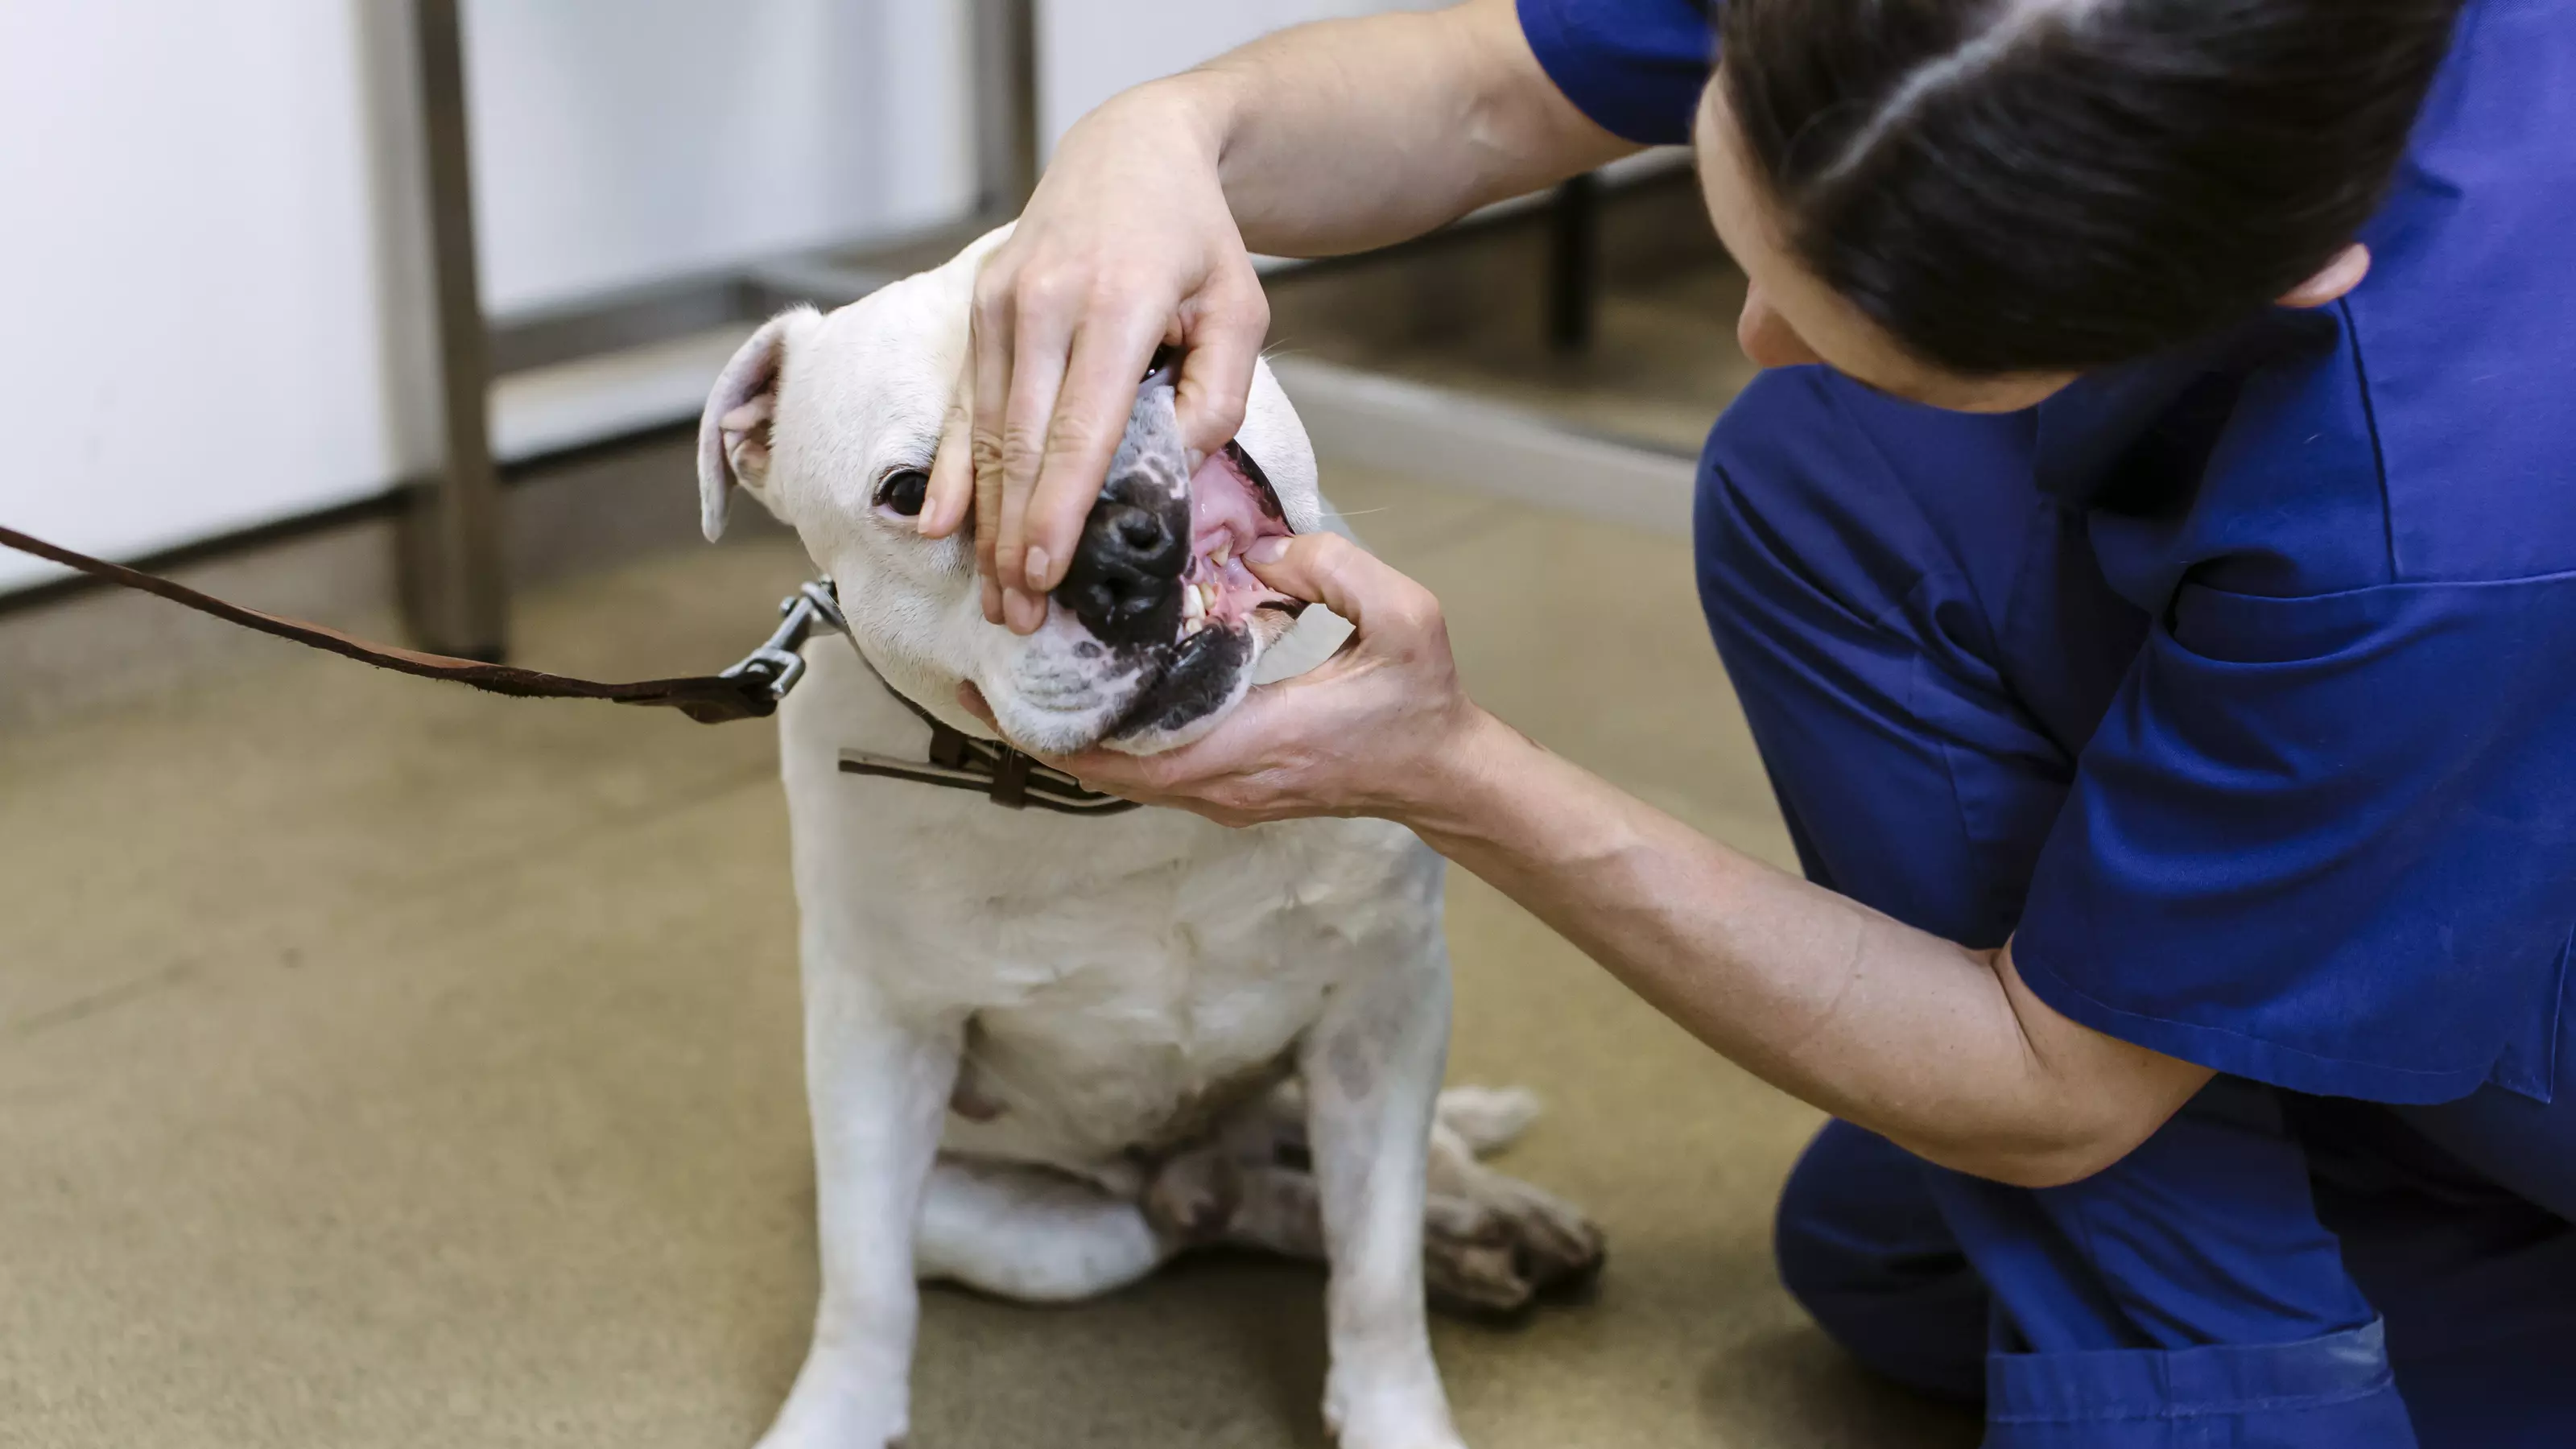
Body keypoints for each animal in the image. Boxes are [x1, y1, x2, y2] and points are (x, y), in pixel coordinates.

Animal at [696, 228, 1597, 1443]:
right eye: (909, 493)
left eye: (1156, 361)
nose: (1120, 545)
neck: (1122, 818)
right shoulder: (875, 1040)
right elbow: (864, 1280)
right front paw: (833, 1414)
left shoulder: (1383, 1007)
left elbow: (1373, 1273)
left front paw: (1398, 1412)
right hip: (1074, 1234)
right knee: (1228, 1214)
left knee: (1411, 1168)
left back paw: (1496, 1217)